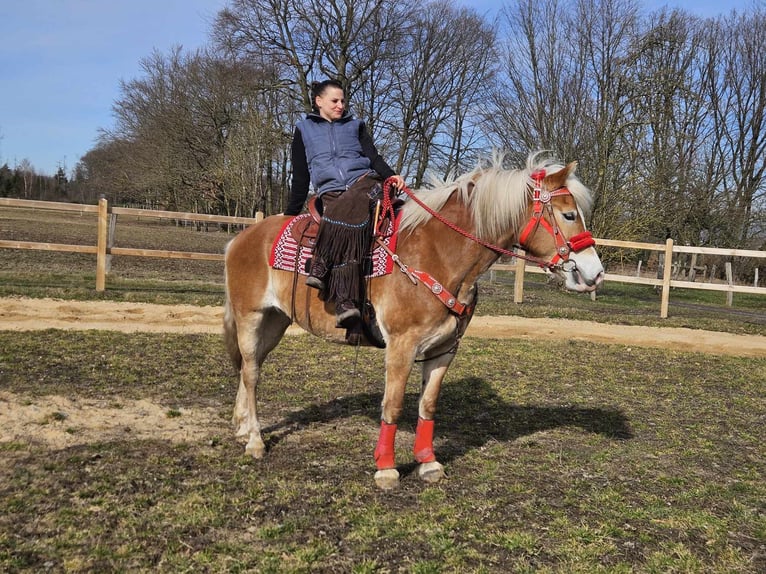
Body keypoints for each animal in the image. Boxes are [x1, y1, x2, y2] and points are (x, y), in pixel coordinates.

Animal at [222, 153, 608, 490]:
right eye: (569, 214)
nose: (595, 273)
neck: (437, 255)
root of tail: (241, 238)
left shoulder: (443, 350)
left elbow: (427, 405)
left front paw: (428, 462)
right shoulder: (401, 347)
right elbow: (392, 406)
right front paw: (386, 469)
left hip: (275, 321)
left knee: (249, 367)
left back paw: (241, 428)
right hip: (250, 316)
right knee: (252, 373)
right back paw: (254, 440)